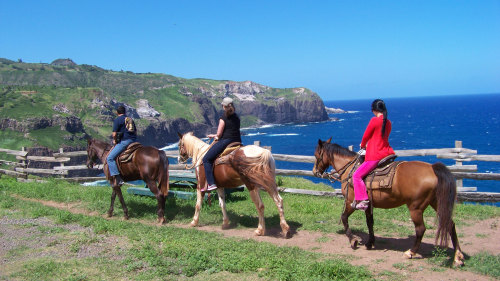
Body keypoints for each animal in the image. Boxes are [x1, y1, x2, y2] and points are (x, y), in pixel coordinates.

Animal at [312, 137, 464, 264]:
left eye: (316, 155)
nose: (315, 171)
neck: (350, 169)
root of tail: (432, 168)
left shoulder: (351, 202)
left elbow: (344, 218)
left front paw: (353, 240)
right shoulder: (368, 205)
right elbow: (370, 222)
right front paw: (370, 243)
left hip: (416, 207)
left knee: (421, 229)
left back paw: (411, 252)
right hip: (436, 202)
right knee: (450, 224)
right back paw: (458, 256)